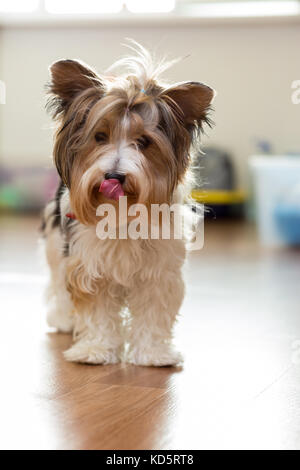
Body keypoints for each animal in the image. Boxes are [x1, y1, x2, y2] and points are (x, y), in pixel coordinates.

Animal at [42, 43, 214, 368]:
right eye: (99, 137)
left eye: (144, 142)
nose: (114, 176)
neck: (121, 210)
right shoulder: (88, 263)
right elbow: (95, 308)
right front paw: (95, 350)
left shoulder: (160, 269)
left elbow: (154, 311)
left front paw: (153, 354)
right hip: (56, 242)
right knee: (58, 282)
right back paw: (65, 321)